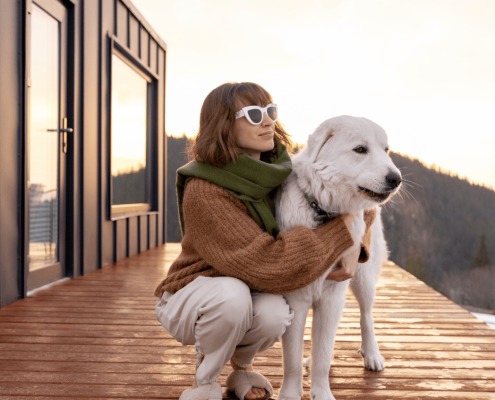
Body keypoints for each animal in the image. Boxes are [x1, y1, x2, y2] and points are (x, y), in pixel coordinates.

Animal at [276, 115, 404, 400]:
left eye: (386, 150)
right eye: (360, 149)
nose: (396, 178)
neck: (323, 213)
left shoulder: (332, 296)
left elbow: (324, 354)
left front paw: (322, 393)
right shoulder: (295, 299)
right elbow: (292, 359)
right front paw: (290, 393)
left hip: (363, 279)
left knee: (366, 316)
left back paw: (372, 355)